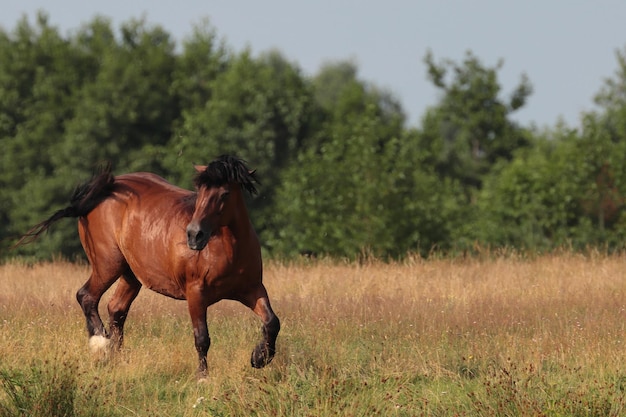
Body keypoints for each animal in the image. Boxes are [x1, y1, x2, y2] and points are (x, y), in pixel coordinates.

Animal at [15, 154, 280, 376]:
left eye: (224, 194)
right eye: (200, 191)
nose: (194, 235)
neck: (227, 248)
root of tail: (107, 190)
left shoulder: (252, 289)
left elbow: (271, 322)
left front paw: (259, 358)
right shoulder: (196, 294)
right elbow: (202, 337)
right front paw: (203, 377)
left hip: (130, 274)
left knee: (116, 309)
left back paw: (117, 359)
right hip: (108, 265)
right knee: (87, 296)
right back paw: (101, 345)